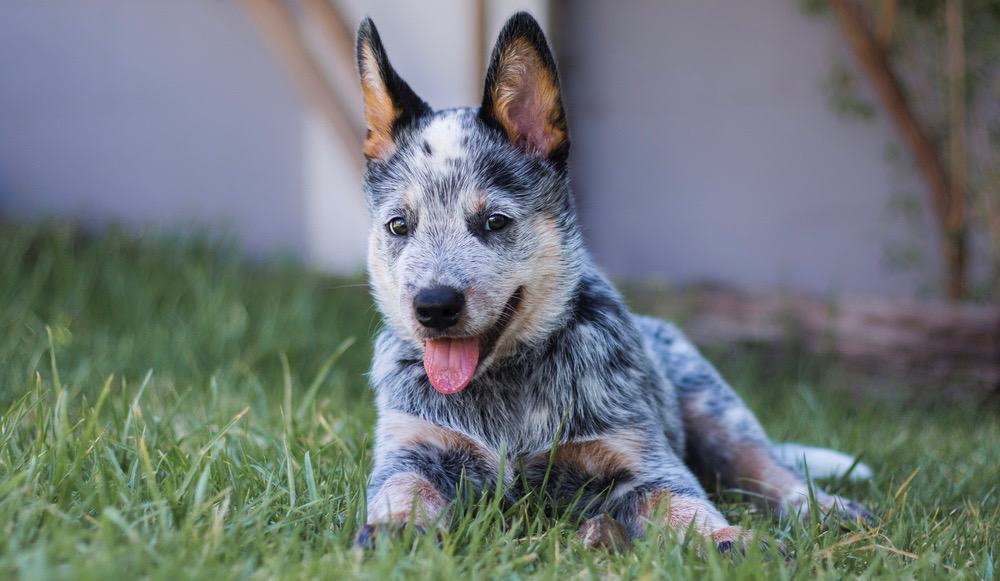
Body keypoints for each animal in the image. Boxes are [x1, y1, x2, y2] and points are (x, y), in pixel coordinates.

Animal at [356, 11, 872, 552]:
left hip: (716, 408)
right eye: (399, 225)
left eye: (495, 222)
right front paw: (394, 531)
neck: (506, 389)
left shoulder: (635, 457)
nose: (434, 305)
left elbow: (684, 502)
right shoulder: (414, 447)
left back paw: (826, 509)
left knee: (765, 467)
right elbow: (403, 487)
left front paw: (728, 538)